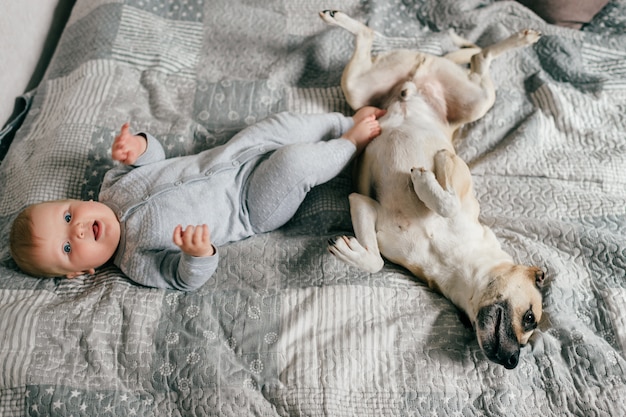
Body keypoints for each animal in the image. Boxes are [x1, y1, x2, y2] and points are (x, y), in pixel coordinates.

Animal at [320, 9, 544, 368]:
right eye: (529, 319)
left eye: (529, 337)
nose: (513, 362)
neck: (454, 261)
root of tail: (424, 69)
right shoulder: (459, 176)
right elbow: (446, 196)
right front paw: (427, 177)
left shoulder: (362, 204)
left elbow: (376, 261)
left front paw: (352, 251)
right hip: (475, 101)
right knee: (480, 58)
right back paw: (520, 38)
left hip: (361, 88)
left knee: (373, 36)